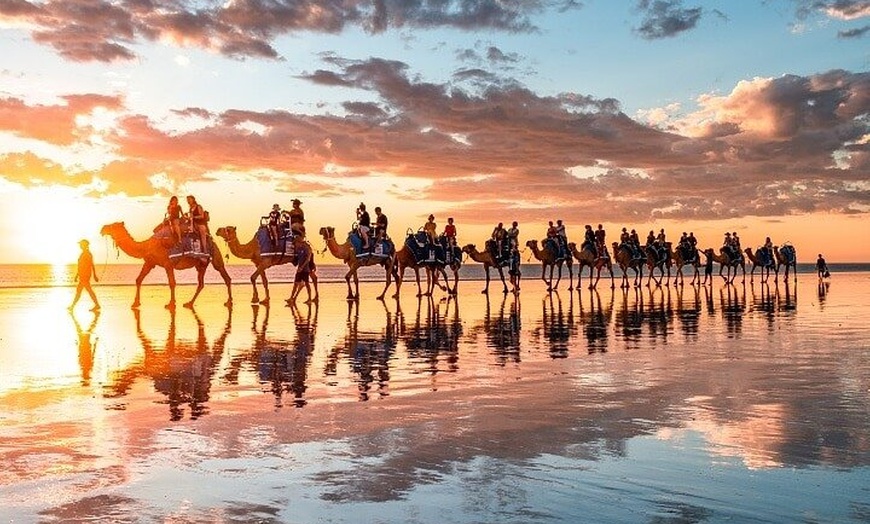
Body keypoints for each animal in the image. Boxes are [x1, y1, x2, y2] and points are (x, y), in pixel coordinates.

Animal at [102, 220, 233, 310]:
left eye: (113, 225)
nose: (102, 228)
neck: (147, 246)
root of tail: (212, 240)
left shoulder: (168, 263)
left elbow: (172, 283)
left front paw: (171, 304)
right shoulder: (150, 262)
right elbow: (138, 279)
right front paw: (135, 303)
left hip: (213, 257)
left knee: (222, 275)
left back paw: (228, 301)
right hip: (201, 264)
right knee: (203, 283)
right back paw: (190, 303)